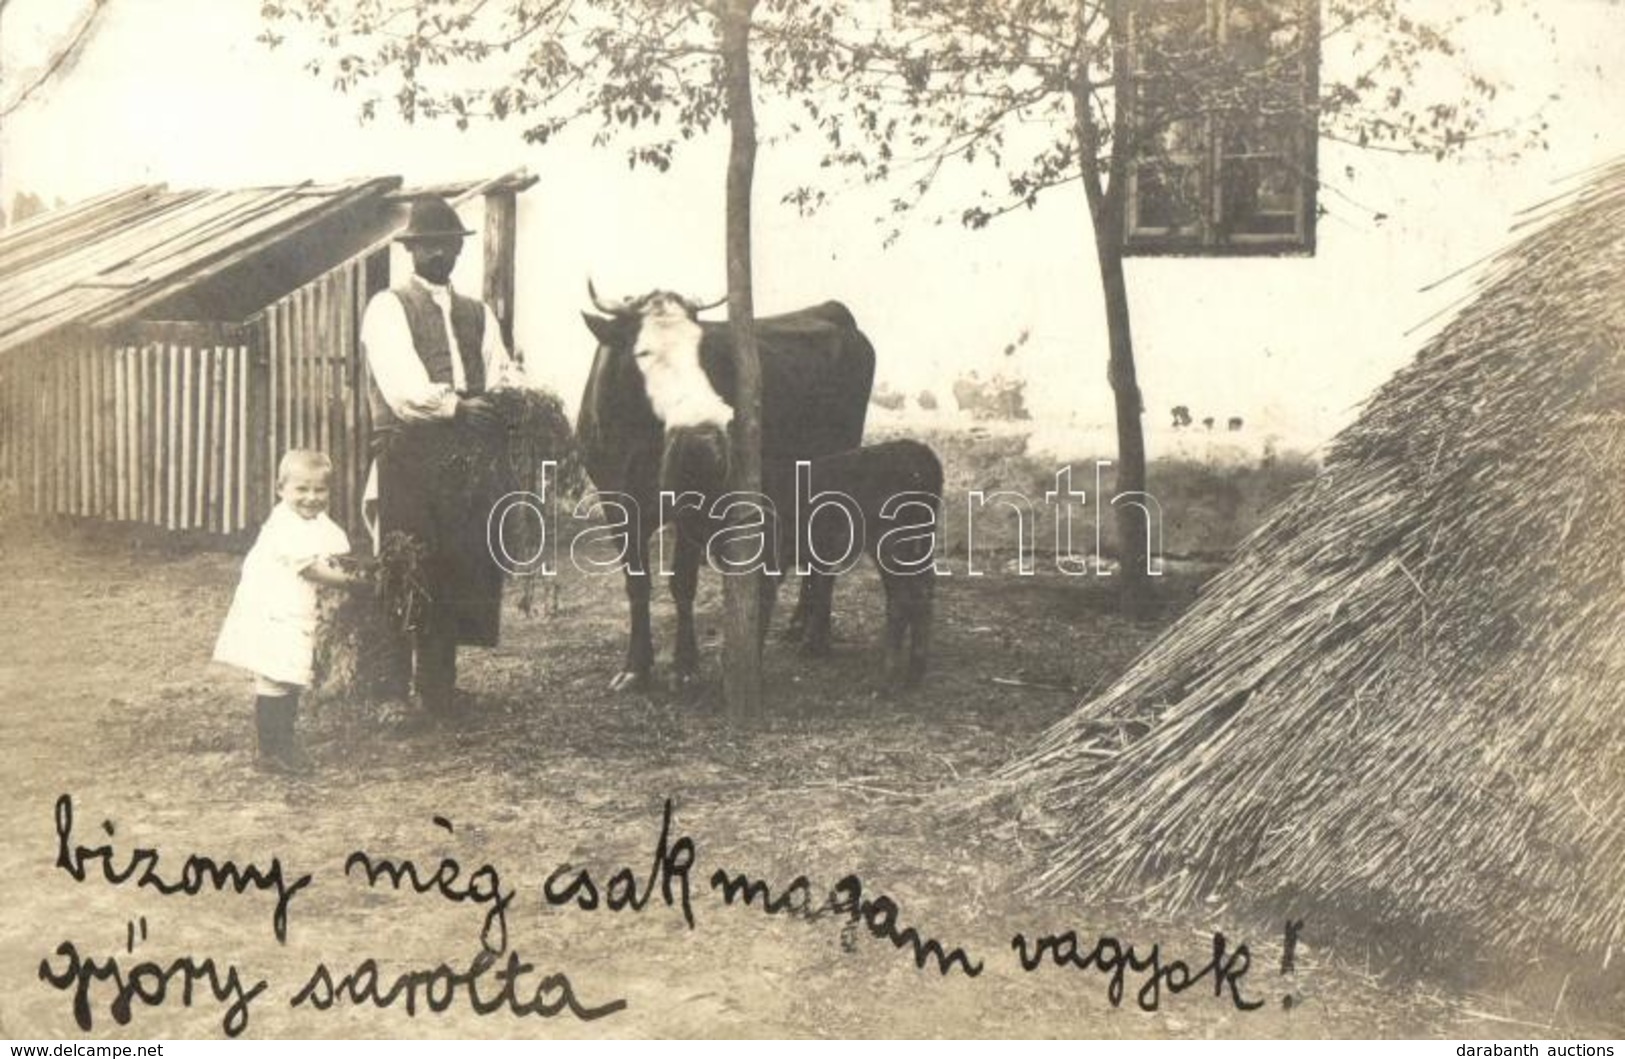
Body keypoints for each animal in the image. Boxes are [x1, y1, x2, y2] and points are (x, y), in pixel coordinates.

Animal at [575, 285, 871, 691]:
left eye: (703, 352)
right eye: (643, 353)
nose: (702, 434)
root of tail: (832, 310)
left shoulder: (692, 503)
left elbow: (682, 583)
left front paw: (684, 666)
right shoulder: (616, 503)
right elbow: (637, 584)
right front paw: (635, 667)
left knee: (827, 547)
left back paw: (816, 638)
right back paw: (799, 624)